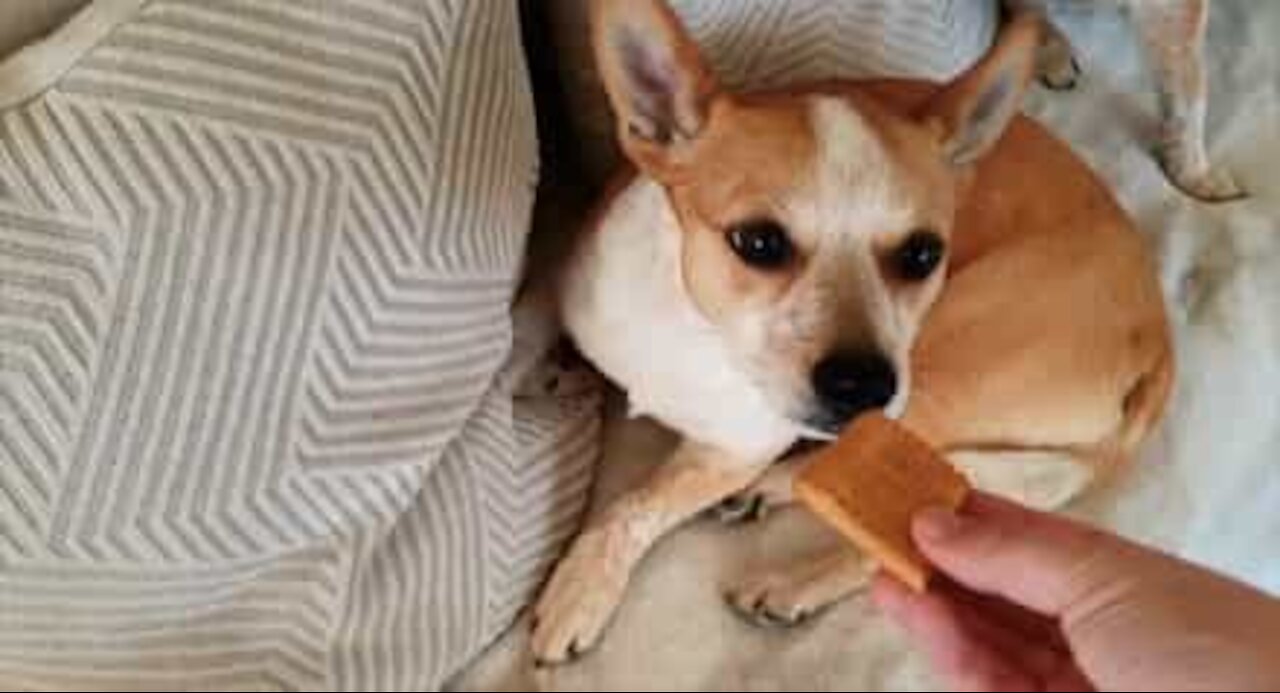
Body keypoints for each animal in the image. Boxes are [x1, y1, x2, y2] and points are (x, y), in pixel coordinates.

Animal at [527, 2, 1172, 666]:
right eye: (757, 242)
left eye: (922, 254)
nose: (861, 385)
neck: (696, 330)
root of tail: (1159, 340)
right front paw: (556, 367)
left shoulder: (731, 452)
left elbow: (633, 508)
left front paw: (582, 589)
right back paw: (776, 488)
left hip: (937, 363)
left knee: (900, 547)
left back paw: (791, 582)